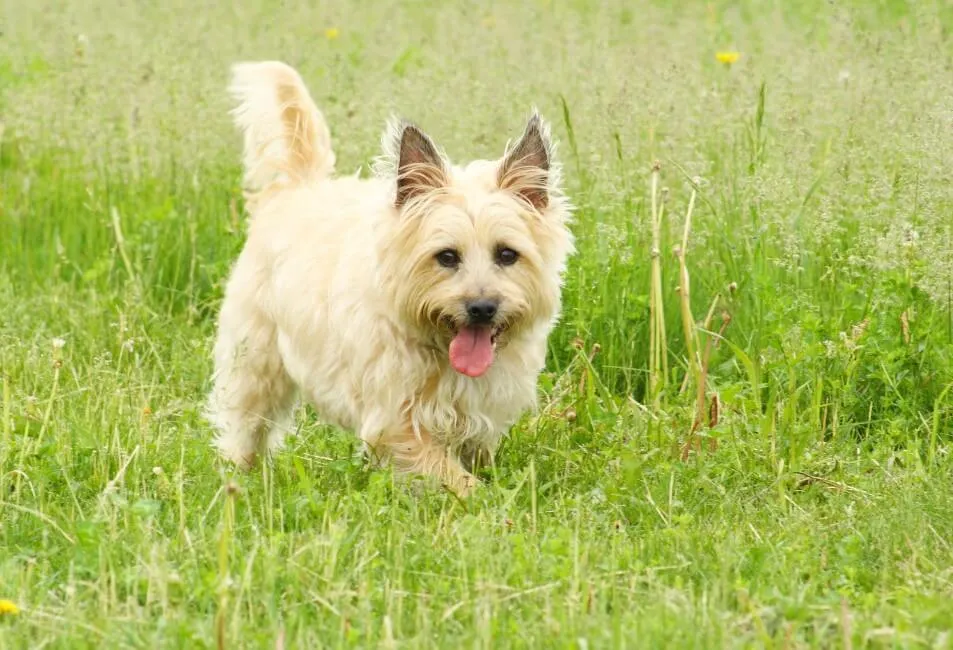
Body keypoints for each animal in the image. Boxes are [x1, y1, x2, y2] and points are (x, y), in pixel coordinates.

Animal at [207, 60, 572, 494]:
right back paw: (238, 476)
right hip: (255, 360)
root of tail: (297, 187)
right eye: (446, 256)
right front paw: (483, 499)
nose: (482, 308)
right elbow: (451, 475)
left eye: (507, 254)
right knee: (245, 422)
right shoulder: (396, 420)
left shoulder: (483, 412)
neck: (439, 349)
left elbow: (475, 454)